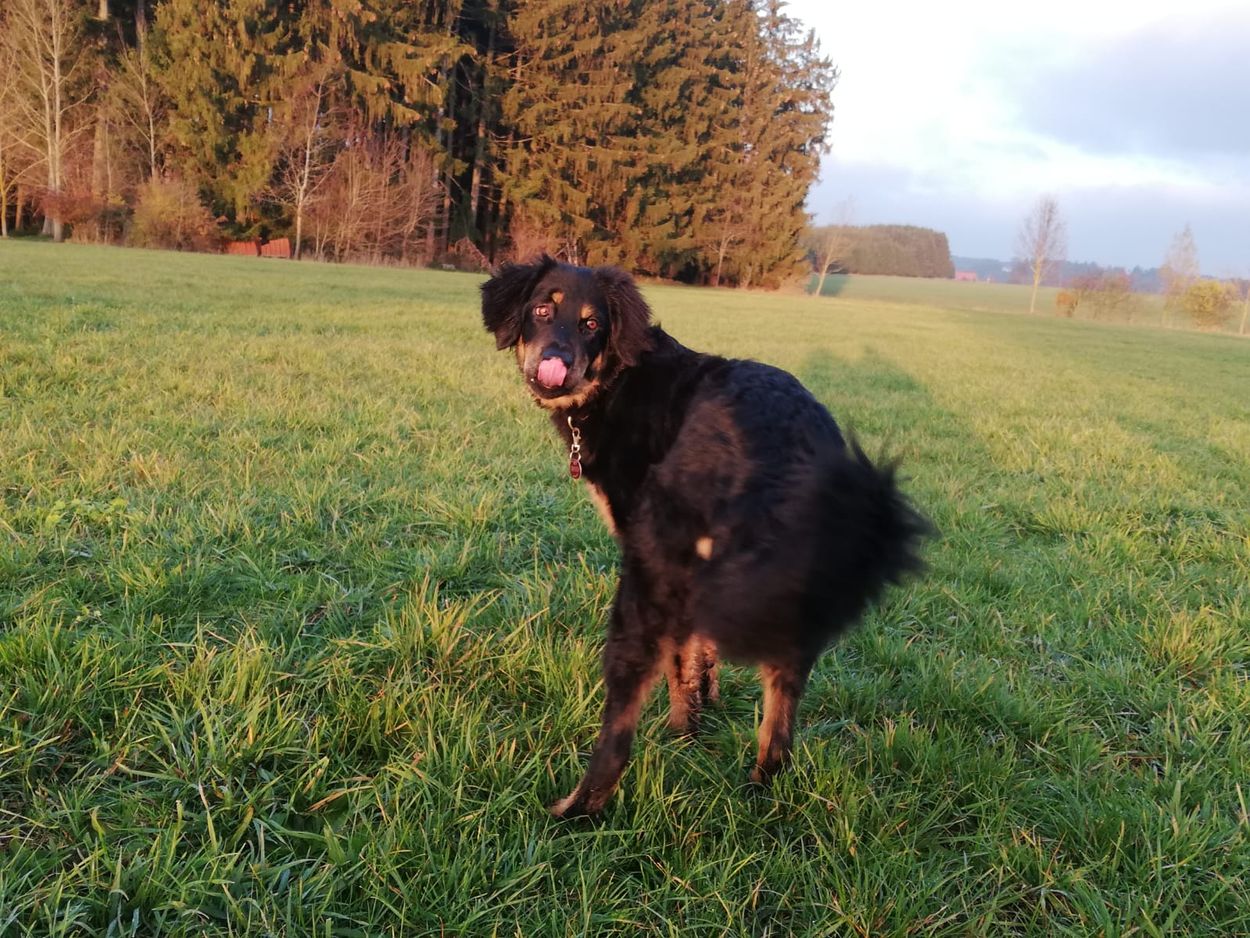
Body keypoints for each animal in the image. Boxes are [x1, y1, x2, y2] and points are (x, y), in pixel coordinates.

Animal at [481, 256, 931, 817]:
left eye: (591, 324)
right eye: (542, 310)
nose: (555, 362)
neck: (616, 380)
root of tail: (782, 454)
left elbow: (679, 664)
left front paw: (682, 733)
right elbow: (700, 654)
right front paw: (701, 718)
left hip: (645, 582)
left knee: (618, 731)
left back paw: (575, 810)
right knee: (780, 725)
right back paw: (761, 794)